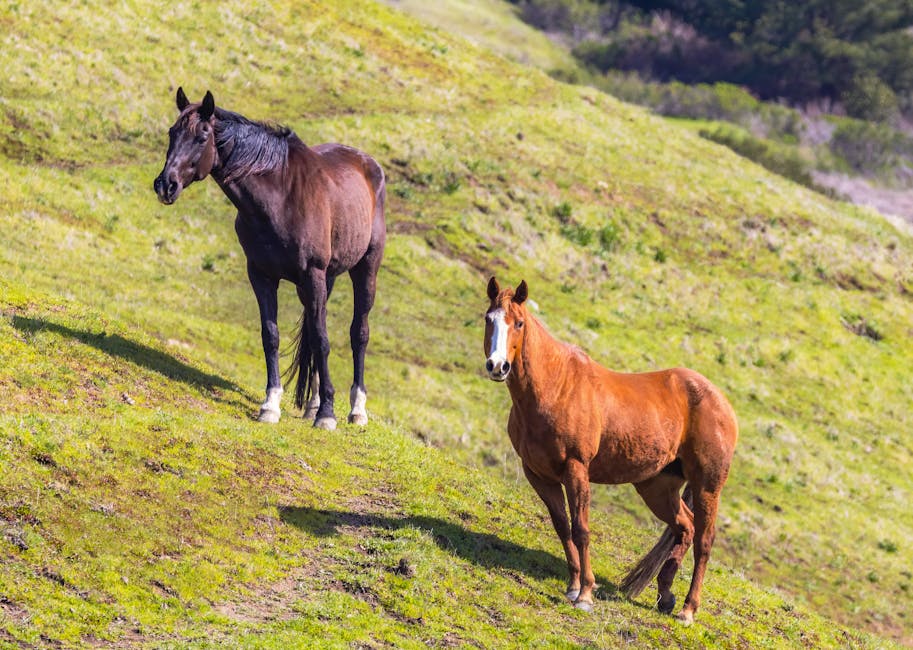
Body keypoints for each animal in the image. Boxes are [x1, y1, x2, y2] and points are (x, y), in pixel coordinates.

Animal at [155, 88, 382, 428]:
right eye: (172, 132)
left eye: (202, 136)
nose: (165, 185)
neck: (280, 198)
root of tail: (367, 164)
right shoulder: (262, 275)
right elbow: (272, 335)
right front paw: (271, 404)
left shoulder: (312, 274)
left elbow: (323, 339)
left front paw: (328, 414)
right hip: (321, 280)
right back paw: (313, 404)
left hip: (363, 269)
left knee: (359, 333)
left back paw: (356, 410)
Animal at [484, 276, 732, 620]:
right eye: (488, 319)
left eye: (518, 323)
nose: (498, 366)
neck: (555, 387)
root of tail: (721, 402)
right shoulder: (538, 474)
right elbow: (562, 526)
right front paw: (573, 585)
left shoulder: (576, 469)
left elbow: (581, 529)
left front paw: (586, 594)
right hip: (657, 487)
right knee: (685, 528)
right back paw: (665, 595)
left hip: (708, 486)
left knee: (704, 541)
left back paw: (687, 610)